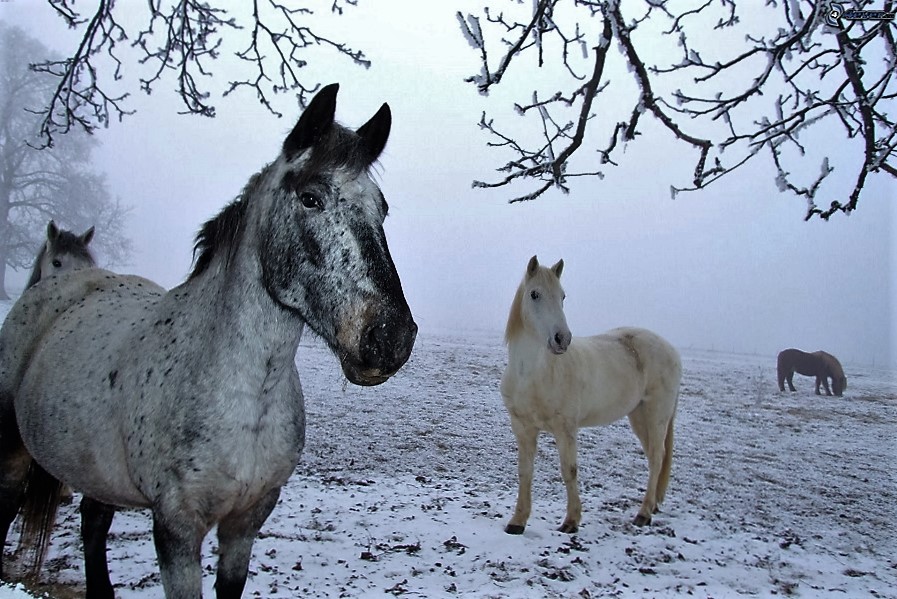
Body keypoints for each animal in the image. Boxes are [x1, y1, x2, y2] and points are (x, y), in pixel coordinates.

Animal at [0, 84, 418, 599]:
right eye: (310, 198)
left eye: (382, 208)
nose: (391, 337)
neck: (244, 397)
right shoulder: (177, 530)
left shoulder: (246, 523)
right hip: (10, 454)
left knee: (93, 526)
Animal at [500, 256, 684, 536]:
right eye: (534, 294)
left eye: (563, 296)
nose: (562, 339)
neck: (531, 374)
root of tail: (671, 350)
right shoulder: (523, 428)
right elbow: (525, 471)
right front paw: (517, 521)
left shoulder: (565, 429)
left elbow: (569, 471)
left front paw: (571, 520)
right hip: (639, 416)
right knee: (656, 457)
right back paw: (651, 507)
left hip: (656, 416)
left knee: (656, 457)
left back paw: (643, 514)